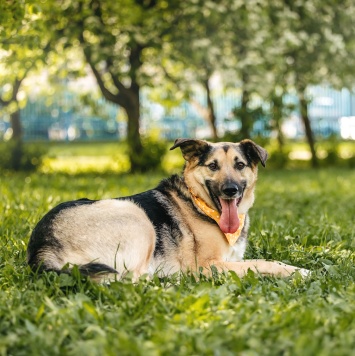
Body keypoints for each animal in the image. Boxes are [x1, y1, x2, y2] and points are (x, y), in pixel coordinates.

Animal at [27, 139, 310, 280]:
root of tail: (41, 247)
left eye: (240, 165)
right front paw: (297, 271)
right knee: (128, 279)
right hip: (135, 216)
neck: (199, 203)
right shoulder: (207, 265)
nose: (230, 190)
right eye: (213, 166)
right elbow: (261, 263)